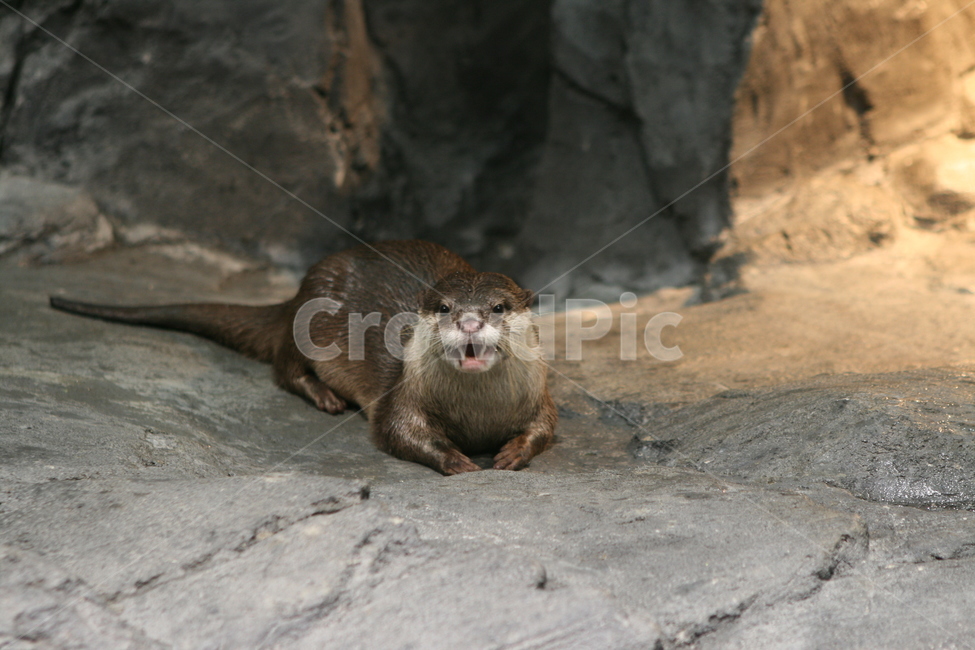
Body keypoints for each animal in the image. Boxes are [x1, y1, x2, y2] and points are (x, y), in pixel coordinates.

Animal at [49, 240, 557, 475]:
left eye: (498, 307)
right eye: (446, 307)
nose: (469, 322)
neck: (477, 415)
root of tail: (294, 295)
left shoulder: (541, 396)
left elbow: (545, 428)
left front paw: (511, 453)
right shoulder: (401, 397)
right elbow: (397, 431)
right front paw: (457, 460)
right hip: (307, 323)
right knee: (284, 368)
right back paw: (325, 396)